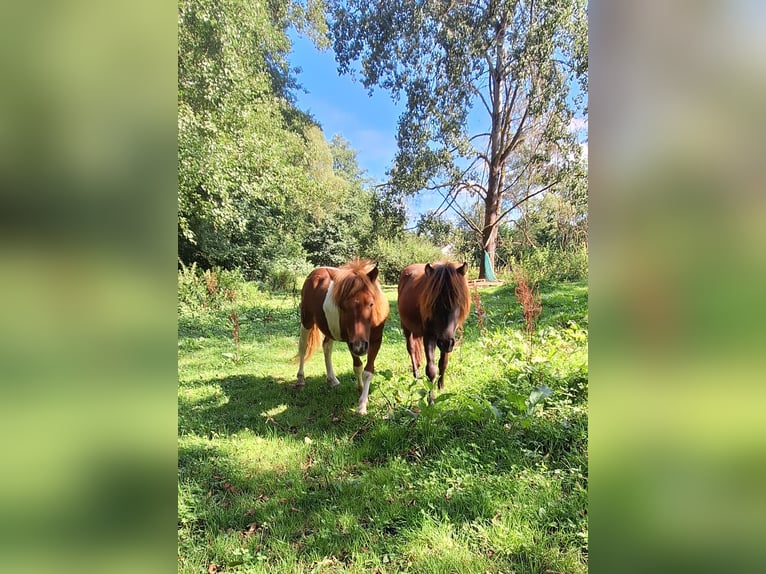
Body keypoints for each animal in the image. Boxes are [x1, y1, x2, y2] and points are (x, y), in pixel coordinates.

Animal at [294, 260, 390, 414]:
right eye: (343, 307)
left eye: (371, 303)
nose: (360, 346)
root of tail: (314, 273)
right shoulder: (351, 342)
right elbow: (358, 366)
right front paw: (361, 399)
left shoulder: (376, 340)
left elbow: (368, 371)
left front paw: (363, 399)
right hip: (306, 320)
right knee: (303, 347)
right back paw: (300, 380)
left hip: (329, 329)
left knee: (327, 348)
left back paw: (332, 379)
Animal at [400, 262, 472, 404]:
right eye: (434, 303)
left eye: (458, 301)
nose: (445, 342)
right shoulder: (429, 337)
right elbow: (431, 369)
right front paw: (431, 399)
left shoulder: (449, 338)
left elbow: (443, 363)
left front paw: (441, 386)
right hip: (406, 328)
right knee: (411, 349)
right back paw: (416, 374)